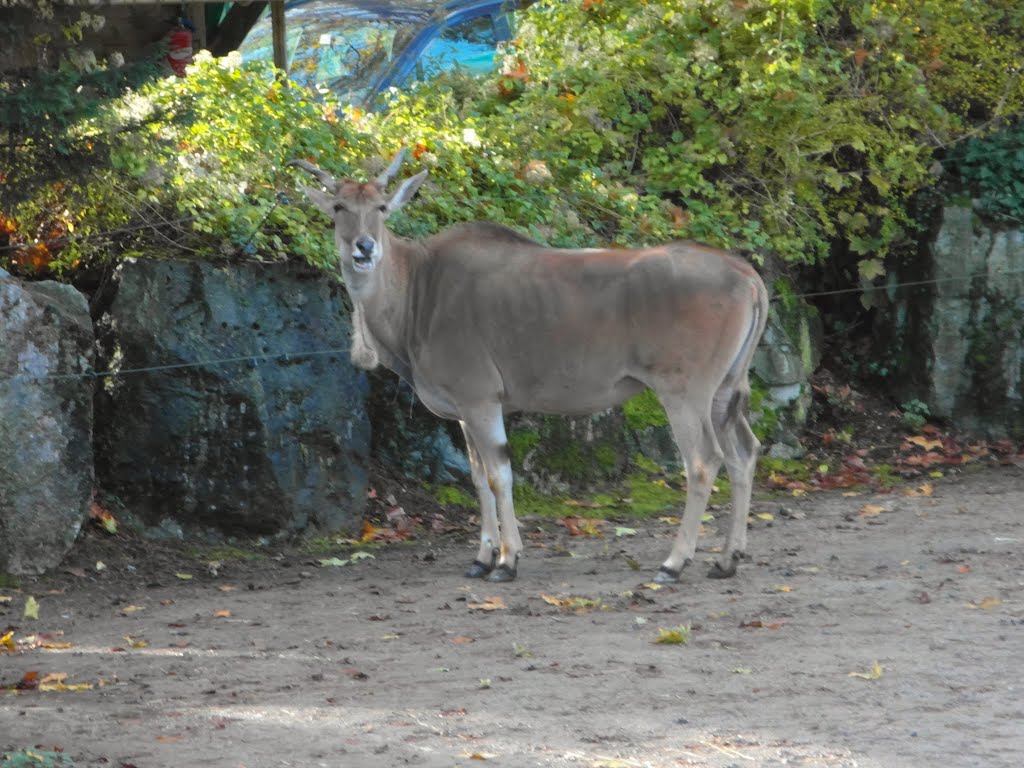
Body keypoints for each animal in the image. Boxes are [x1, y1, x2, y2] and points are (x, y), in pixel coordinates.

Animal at [290, 153, 770, 585]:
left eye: (381, 208)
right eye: (339, 207)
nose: (364, 247)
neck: (419, 287)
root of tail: (745, 274)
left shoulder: (481, 401)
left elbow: (499, 475)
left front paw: (506, 560)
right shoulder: (465, 412)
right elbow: (478, 478)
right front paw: (482, 558)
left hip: (684, 393)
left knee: (704, 461)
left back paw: (674, 563)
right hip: (723, 392)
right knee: (744, 452)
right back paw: (727, 560)